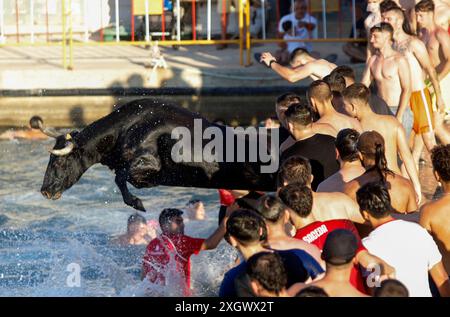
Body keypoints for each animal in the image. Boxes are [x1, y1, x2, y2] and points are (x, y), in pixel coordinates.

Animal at [39, 98, 278, 210]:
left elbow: (122, 178)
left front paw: (137, 202)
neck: (124, 128)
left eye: (60, 163)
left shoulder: (149, 163)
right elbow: (122, 178)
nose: (45, 191)